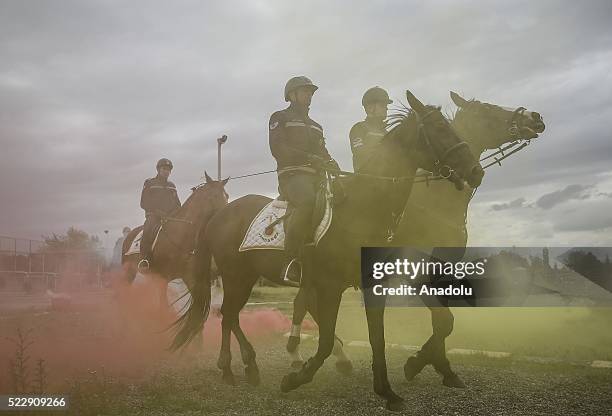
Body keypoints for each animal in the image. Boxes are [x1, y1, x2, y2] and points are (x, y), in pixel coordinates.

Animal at [121, 172, 230, 308]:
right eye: (213, 196)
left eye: (226, 195)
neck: (181, 235)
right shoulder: (163, 278)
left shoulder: (189, 277)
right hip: (129, 272)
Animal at [171, 89, 482, 412]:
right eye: (440, 129)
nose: (476, 172)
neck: (363, 210)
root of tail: (221, 212)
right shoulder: (331, 287)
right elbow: (326, 340)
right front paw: (296, 378)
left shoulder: (373, 285)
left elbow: (379, 338)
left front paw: (387, 391)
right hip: (236, 277)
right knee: (228, 315)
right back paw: (233, 368)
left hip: (244, 278)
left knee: (230, 315)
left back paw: (244, 367)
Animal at [286, 91, 548, 386]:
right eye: (487, 111)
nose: (534, 117)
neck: (435, 205)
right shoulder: (416, 273)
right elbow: (443, 321)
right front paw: (417, 362)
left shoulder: (441, 270)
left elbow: (442, 321)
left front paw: (442, 367)